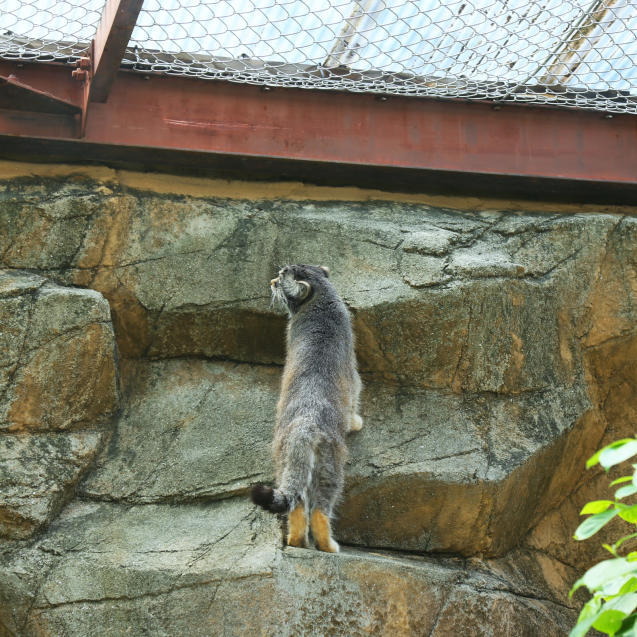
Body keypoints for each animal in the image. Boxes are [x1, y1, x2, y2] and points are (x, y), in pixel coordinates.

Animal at [250, 264, 362, 552]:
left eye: (280, 278)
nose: (271, 281)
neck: (321, 299)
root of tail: (304, 426)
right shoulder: (353, 371)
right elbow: (355, 396)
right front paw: (355, 421)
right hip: (329, 465)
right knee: (320, 509)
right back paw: (329, 545)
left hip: (285, 459)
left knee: (297, 503)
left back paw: (296, 541)